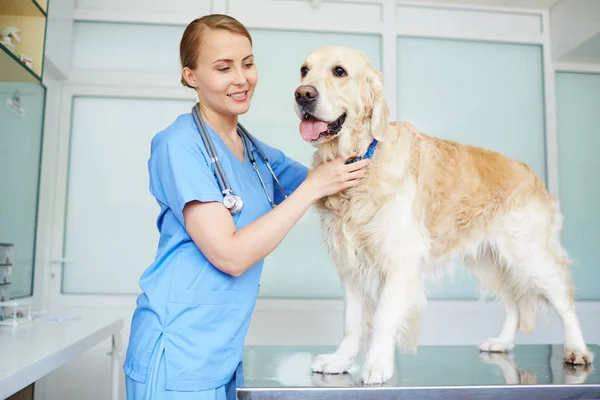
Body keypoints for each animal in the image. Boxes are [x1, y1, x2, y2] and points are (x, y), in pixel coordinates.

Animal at [292, 46, 592, 384]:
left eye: (339, 71)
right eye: (304, 70)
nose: (302, 94)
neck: (361, 161)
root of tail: (530, 172)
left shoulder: (399, 260)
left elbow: (383, 317)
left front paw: (377, 364)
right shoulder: (351, 266)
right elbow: (352, 322)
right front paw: (340, 360)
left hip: (528, 254)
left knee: (564, 299)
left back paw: (577, 348)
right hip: (490, 260)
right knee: (514, 303)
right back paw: (501, 342)